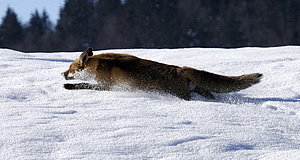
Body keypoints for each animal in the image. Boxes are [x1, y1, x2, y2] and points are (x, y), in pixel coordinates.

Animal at [62, 47, 262, 100]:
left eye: (70, 69)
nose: (62, 74)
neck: (99, 65)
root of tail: (181, 69)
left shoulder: (106, 86)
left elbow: (83, 84)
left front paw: (68, 86)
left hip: (182, 95)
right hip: (200, 91)